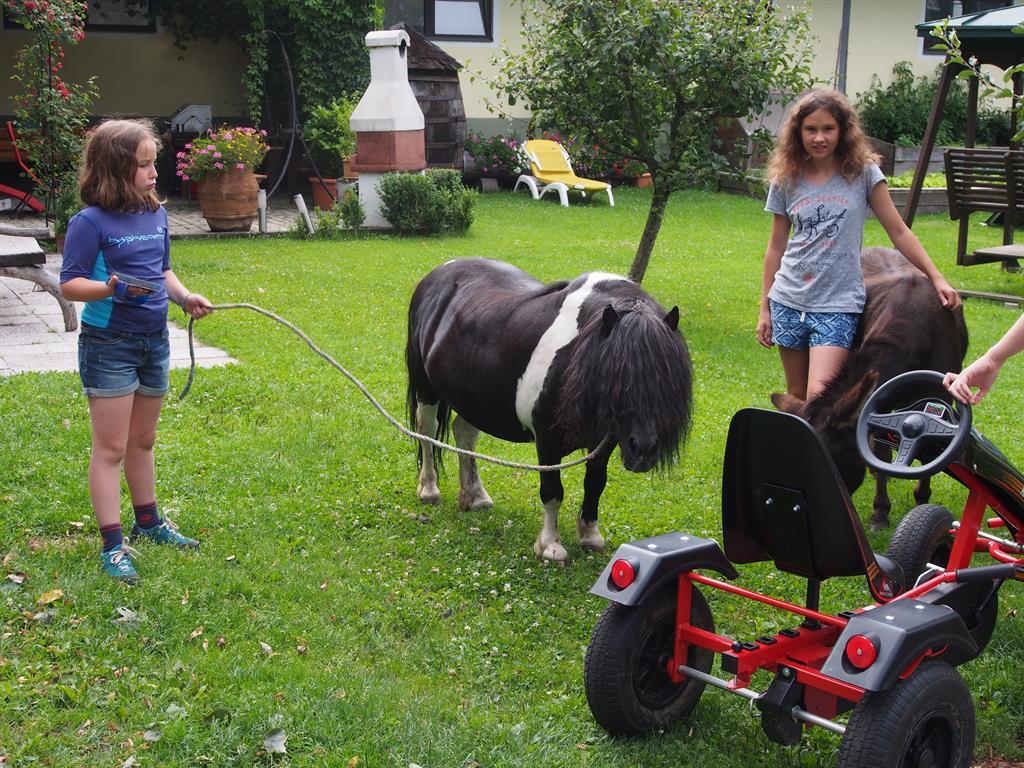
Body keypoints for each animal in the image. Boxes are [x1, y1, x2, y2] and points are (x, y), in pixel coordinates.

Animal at [406, 258, 693, 561]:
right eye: (615, 375)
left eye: (667, 377)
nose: (644, 451)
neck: (578, 352)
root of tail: (437, 274)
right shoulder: (547, 439)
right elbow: (552, 491)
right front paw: (550, 545)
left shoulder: (606, 441)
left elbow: (595, 483)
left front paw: (590, 535)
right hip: (426, 388)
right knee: (427, 432)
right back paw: (429, 490)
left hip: (472, 399)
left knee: (464, 433)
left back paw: (475, 496)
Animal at [772, 247, 968, 529]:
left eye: (827, 460)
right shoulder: (879, 403)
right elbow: (883, 452)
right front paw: (881, 512)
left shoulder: (941, 396)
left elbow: (931, 453)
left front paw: (921, 500)